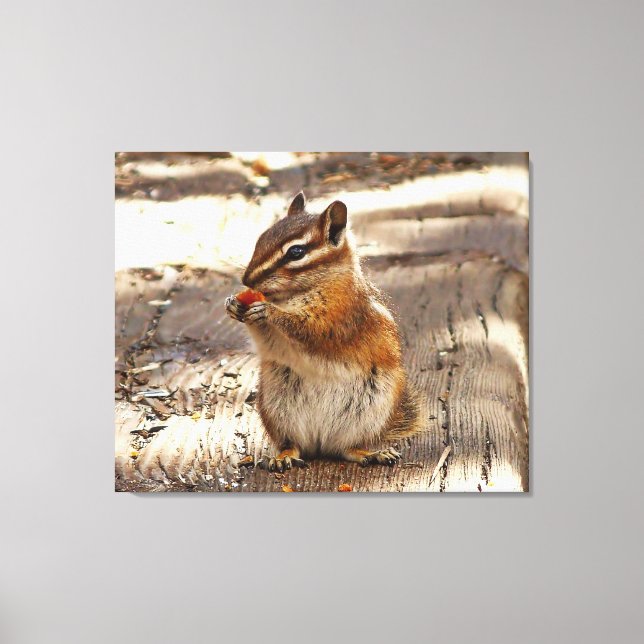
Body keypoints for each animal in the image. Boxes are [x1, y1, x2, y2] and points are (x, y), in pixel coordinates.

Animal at [225, 191, 420, 471]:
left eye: (296, 252)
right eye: (261, 238)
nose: (247, 281)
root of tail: (321, 443)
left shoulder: (338, 318)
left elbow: (308, 329)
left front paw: (269, 311)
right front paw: (234, 305)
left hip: (371, 411)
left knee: (347, 448)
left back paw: (372, 453)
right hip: (277, 408)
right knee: (293, 444)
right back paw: (283, 458)